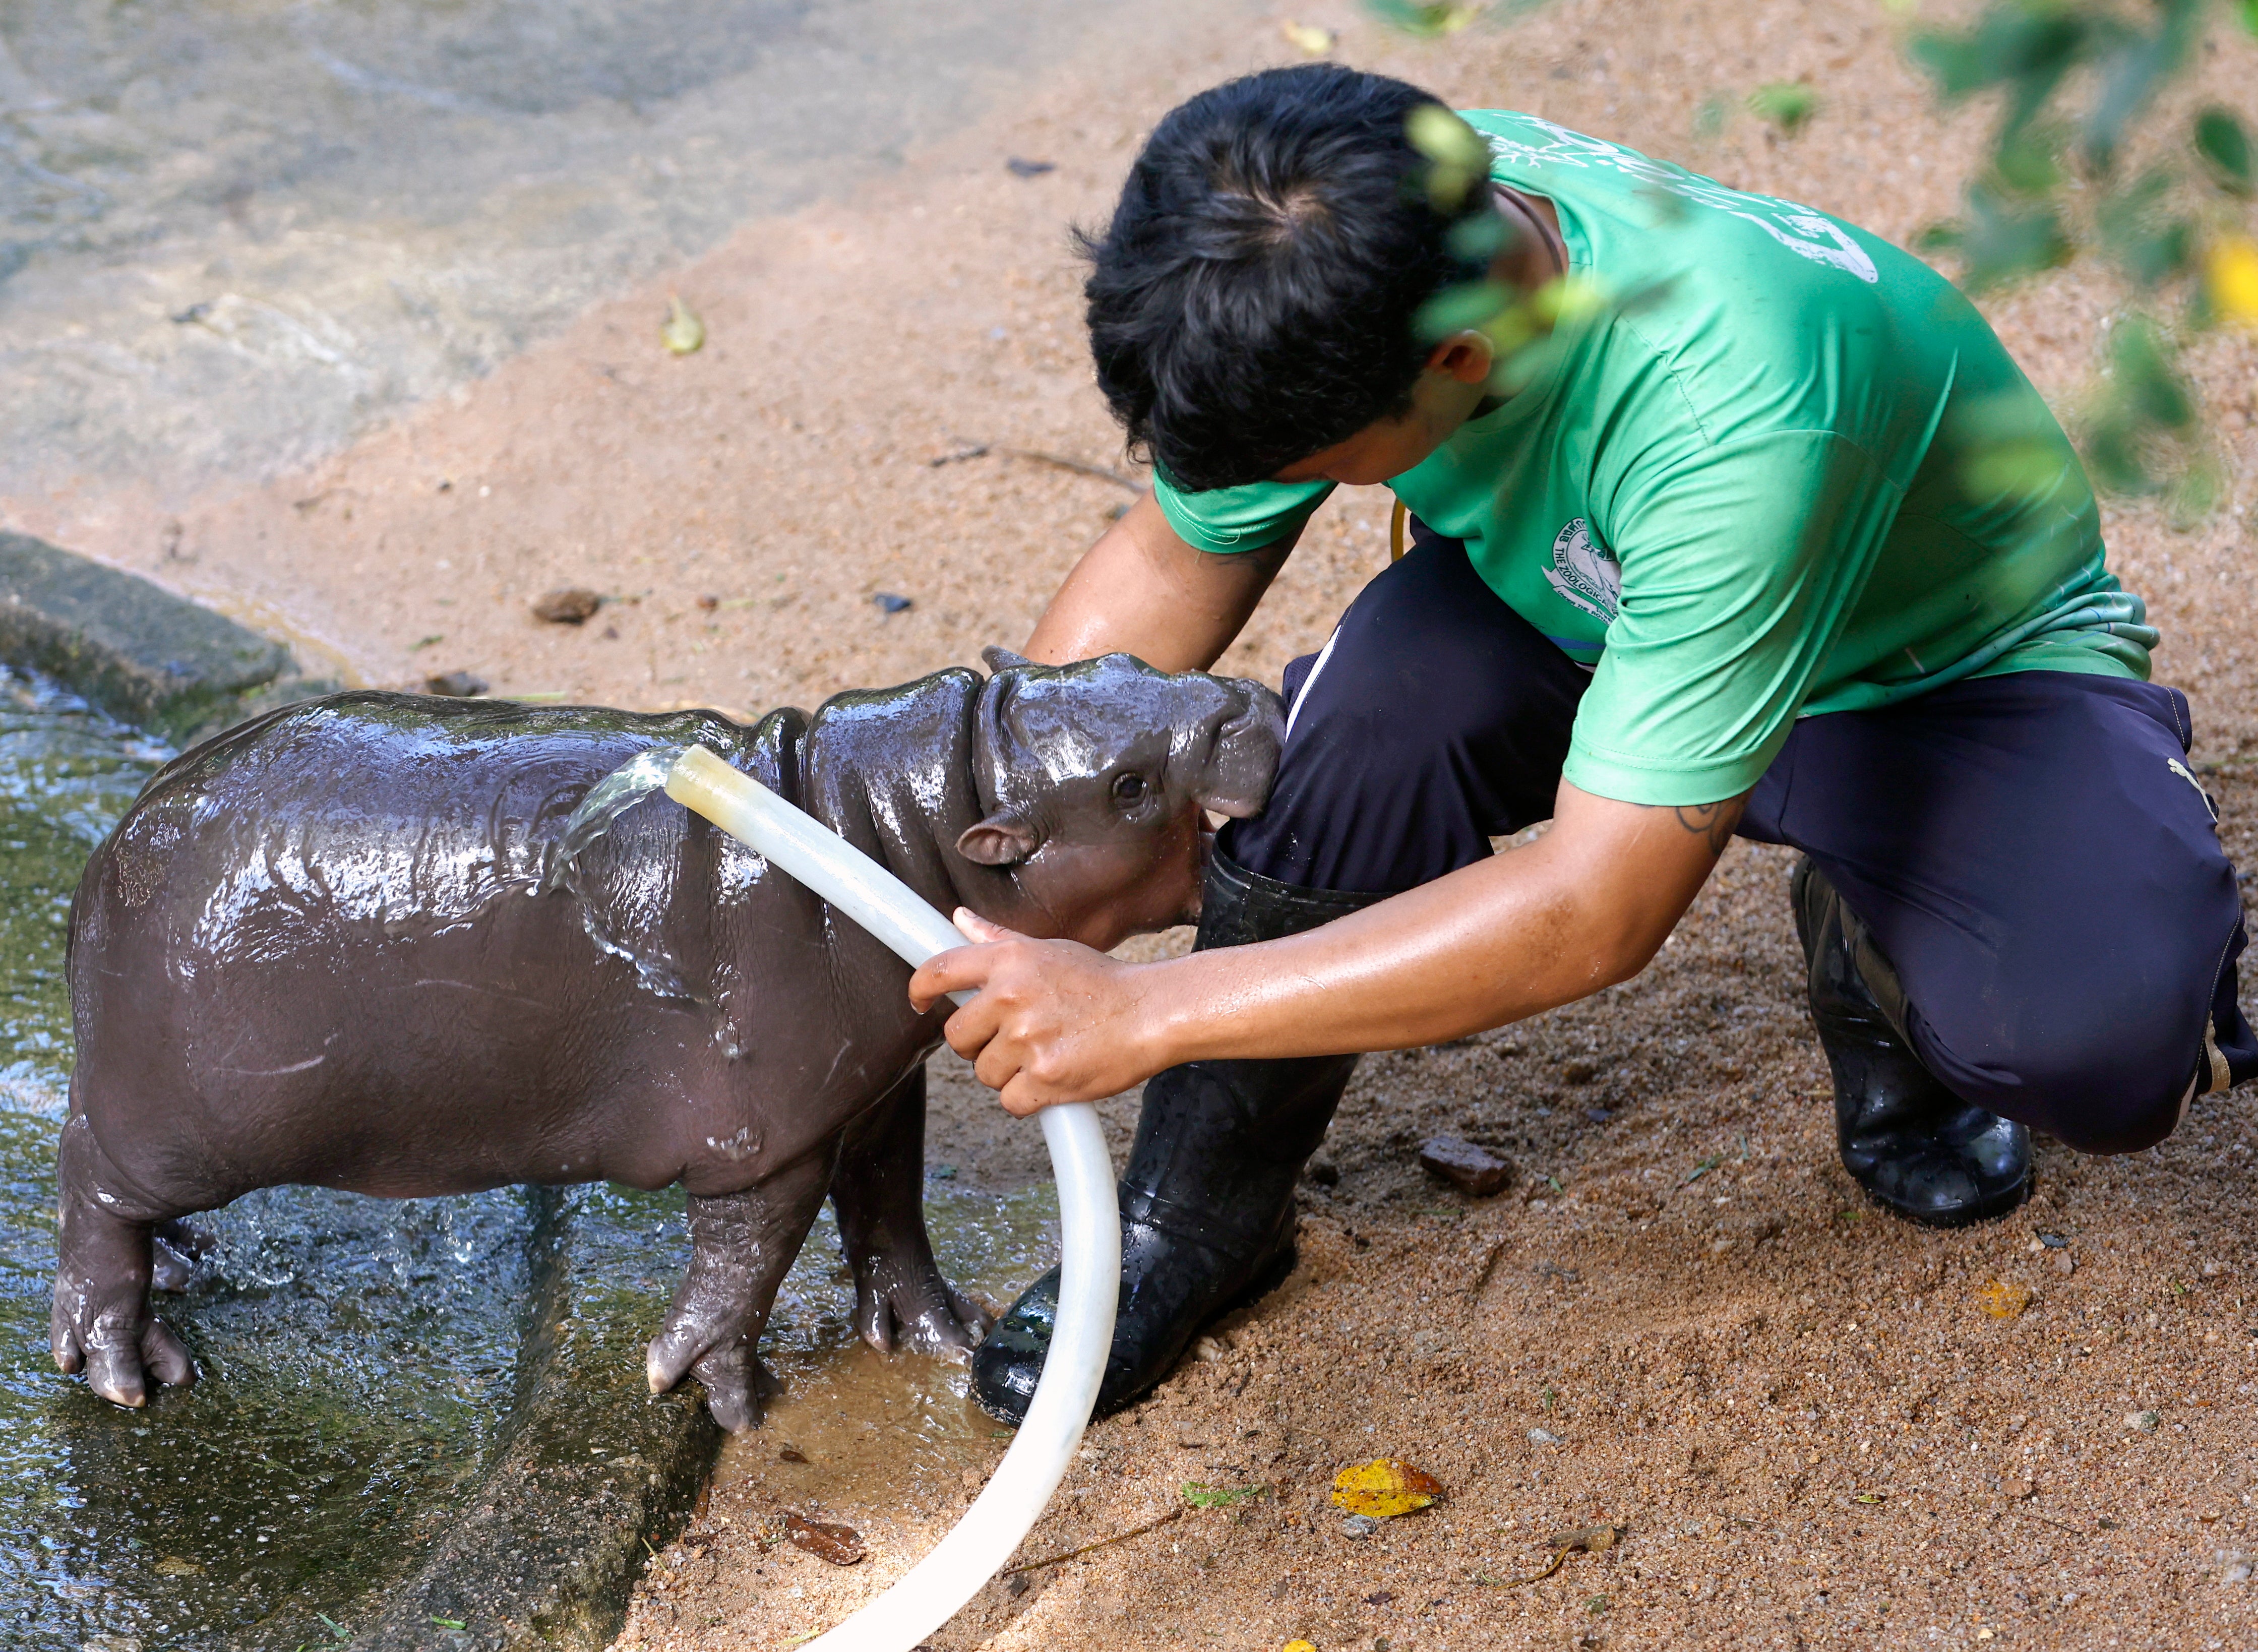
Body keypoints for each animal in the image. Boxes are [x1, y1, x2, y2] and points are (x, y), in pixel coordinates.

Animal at [53, 650, 1283, 1426]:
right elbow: (747, 1260)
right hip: (177, 1121)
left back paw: (180, 1267)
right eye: (1127, 785)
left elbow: (889, 1202)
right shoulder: (761, 1132)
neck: (897, 823)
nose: (1253, 698)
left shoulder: (876, 1085)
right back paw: (125, 1371)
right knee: (88, 1186)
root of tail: (110, 852)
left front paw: (936, 1332)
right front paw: (717, 1395)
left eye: (1124, 653)